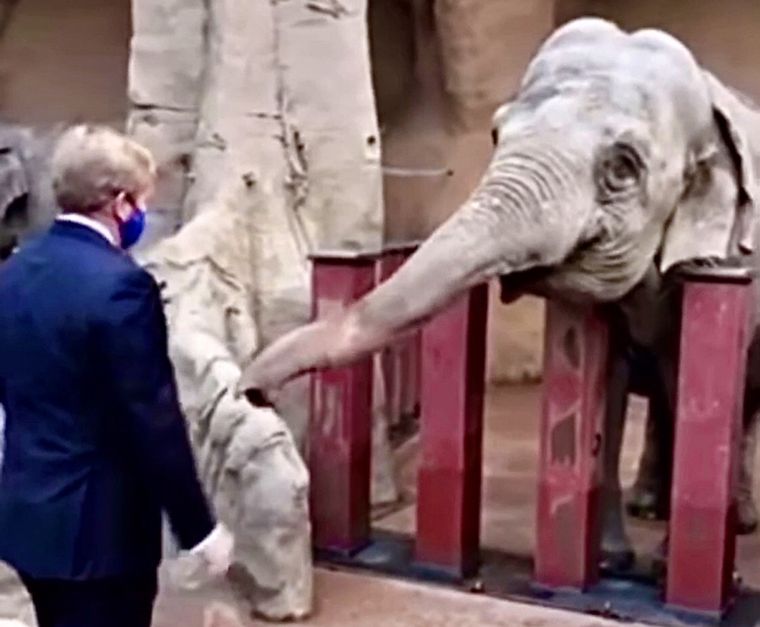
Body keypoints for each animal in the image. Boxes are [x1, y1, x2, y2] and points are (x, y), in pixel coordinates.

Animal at [237, 17, 760, 571]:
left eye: (622, 169)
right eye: (495, 132)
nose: (253, 392)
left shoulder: (729, 263)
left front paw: (658, 563)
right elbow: (611, 385)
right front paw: (611, 561)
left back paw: (735, 521)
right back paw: (649, 507)